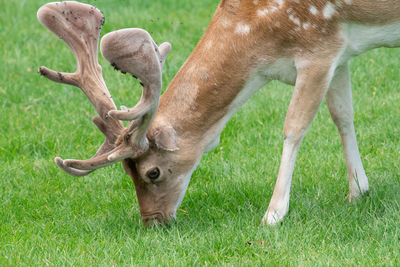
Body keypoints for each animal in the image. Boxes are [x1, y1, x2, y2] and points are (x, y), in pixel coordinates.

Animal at [37, 0, 400, 226]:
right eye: (128, 174)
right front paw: (358, 191)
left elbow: (294, 127)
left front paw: (273, 215)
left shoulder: (318, 49)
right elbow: (343, 115)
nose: (152, 222)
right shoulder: (339, 53)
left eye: (152, 172)